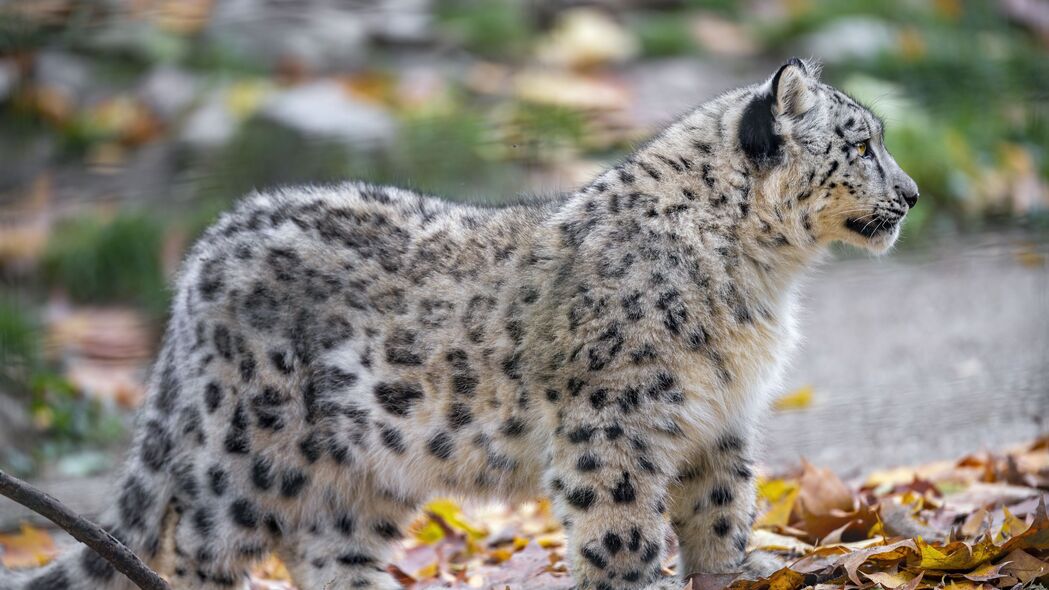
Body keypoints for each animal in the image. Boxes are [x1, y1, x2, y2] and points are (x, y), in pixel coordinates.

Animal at [4, 58, 914, 587]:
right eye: (860, 143)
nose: (908, 194)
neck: (763, 281)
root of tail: (207, 247)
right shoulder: (614, 423)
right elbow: (620, 529)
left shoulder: (718, 421)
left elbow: (720, 516)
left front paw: (730, 571)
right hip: (248, 459)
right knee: (196, 547)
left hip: (359, 481)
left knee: (329, 556)